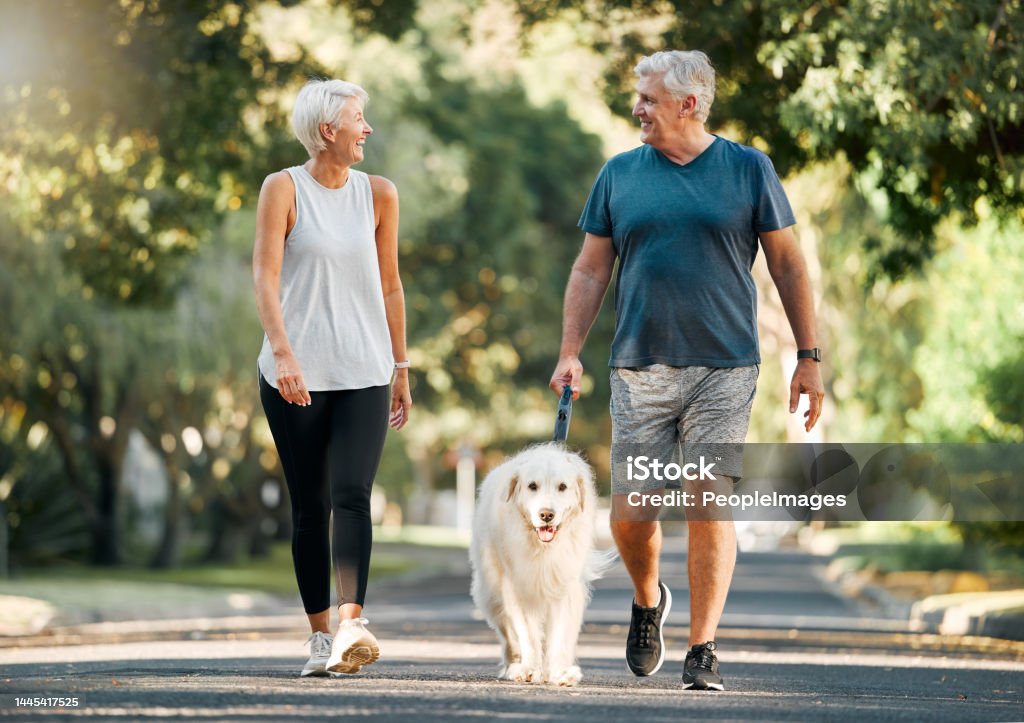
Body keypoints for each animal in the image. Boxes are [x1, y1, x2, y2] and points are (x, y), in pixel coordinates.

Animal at [468, 442, 606, 684]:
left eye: (562, 487)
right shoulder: (518, 589)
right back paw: (513, 664)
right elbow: (527, 635)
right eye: (532, 486)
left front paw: (560, 672)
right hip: (491, 592)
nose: (546, 515)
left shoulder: (565, 588)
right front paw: (529, 669)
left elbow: (560, 635)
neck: (543, 549)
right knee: (508, 633)